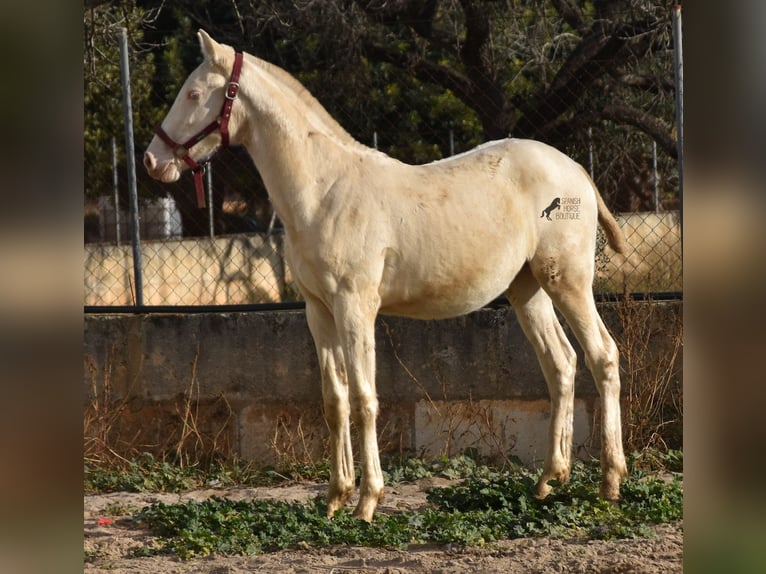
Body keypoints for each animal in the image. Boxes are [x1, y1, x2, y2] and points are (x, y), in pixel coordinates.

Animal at [144, 31, 632, 528]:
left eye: (194, 94)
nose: (152, 161)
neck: (323, 191)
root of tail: (577, 171)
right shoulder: (318, 311)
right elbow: (335, 399)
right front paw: (335, 498)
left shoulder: (355, 305)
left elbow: (364, 398)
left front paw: (367, 502)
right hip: (527, 289)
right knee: (561, 364)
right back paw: (550, 481)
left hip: (568, 281)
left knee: (602, 356)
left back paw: (610, 483)